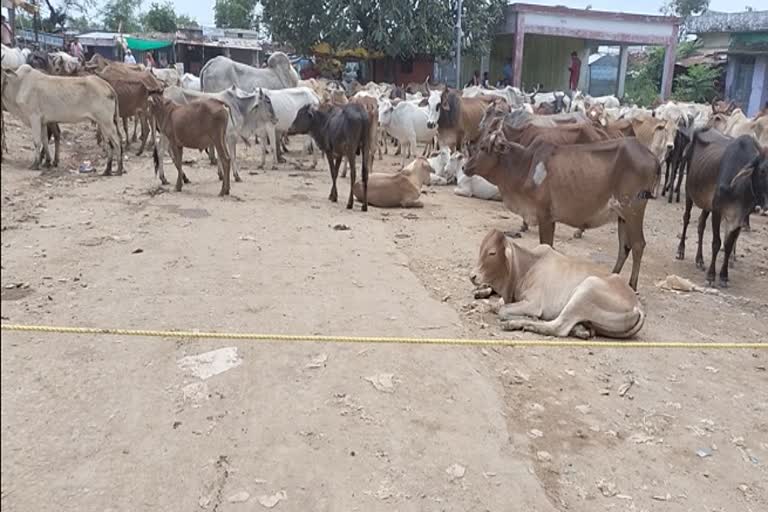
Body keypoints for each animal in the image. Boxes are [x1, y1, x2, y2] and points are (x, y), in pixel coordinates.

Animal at [464, 131, 656, 292]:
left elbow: (546, 246)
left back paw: (632, 285)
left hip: (633, 210)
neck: (525, 166)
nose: (465, 167)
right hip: (622, 215)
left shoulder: (545, 217)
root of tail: (652, 156)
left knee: (638, 245)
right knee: (624, 247)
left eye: (483, 148)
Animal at [472, 230, 644, 338]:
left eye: (492, 252)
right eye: (481, 248)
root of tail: (637, 305)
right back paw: (581, 329)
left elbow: (502, 310)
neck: (527, 266)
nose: (472, 276)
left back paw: (518, 323)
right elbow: (496, 305)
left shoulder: (534, 304)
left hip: (587, 289)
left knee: (558, 327)